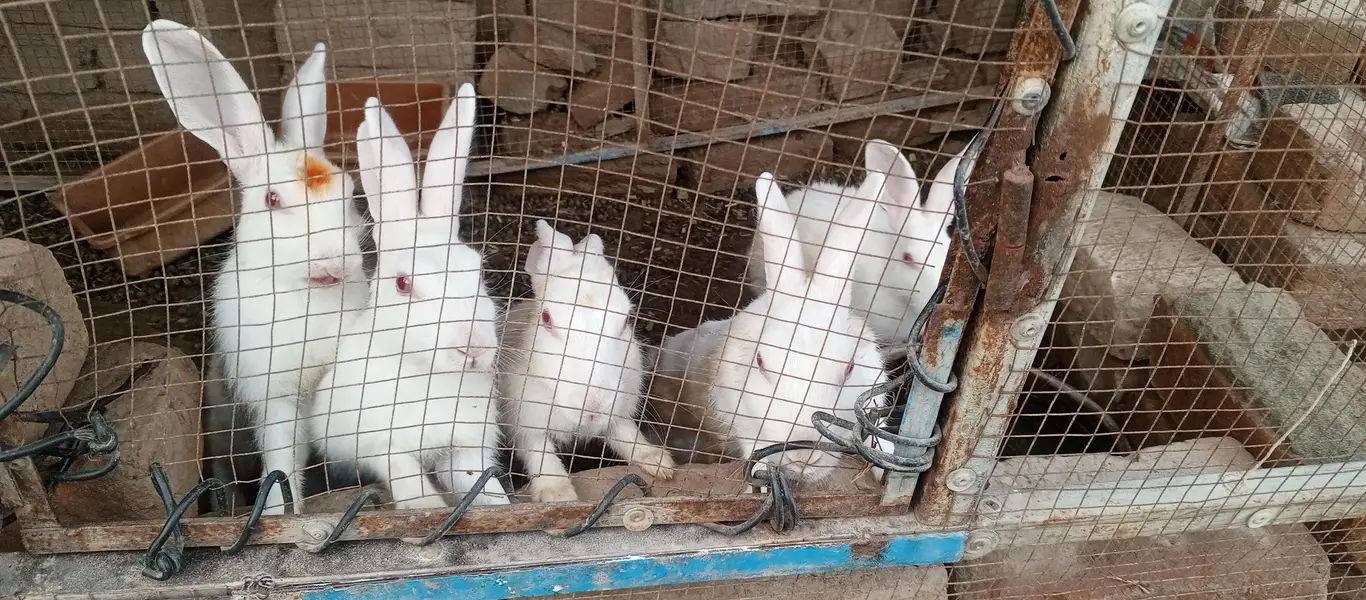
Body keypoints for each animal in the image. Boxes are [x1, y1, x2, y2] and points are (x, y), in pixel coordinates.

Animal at [143, 19, 369, 515]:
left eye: (348, 192)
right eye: (272, 200)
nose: (334, 262)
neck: (306, 293)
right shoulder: (276, 397)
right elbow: (282, 460)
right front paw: (280, 513)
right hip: (220, 425)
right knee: (223, 470)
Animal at [309, 88, 509, 510]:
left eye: (479, 272)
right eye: (403, 284)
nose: (473, 348)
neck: (430, 375)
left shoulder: (465, 449)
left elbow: (480, 485)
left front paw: (500, 506)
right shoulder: (378, 445)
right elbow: (406, 477)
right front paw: (426, 508)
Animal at [500, 221, 677, 503]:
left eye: (627, 320)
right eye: (546, 318)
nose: (593, 405)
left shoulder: (617, 411)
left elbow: (625, 433)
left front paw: (659, 463)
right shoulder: (525, 421)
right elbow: (539, 452)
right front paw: (559, 495)